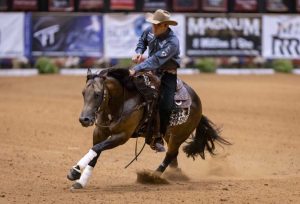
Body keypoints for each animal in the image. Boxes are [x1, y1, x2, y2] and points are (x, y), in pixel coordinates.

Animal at [66, 67, 230, 189]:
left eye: (98, 94)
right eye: (83, 93)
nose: (84, 119)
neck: (122, 102)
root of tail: (197, 101)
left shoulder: (122, 136)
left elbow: (96, 149)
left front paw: (75, 171)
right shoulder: (100, 132)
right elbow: (95, 152)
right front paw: (80, 180)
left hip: (178, 136)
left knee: (171, 154)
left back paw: (153, 176)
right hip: (168, 135)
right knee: (173, 156)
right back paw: (174, 173)